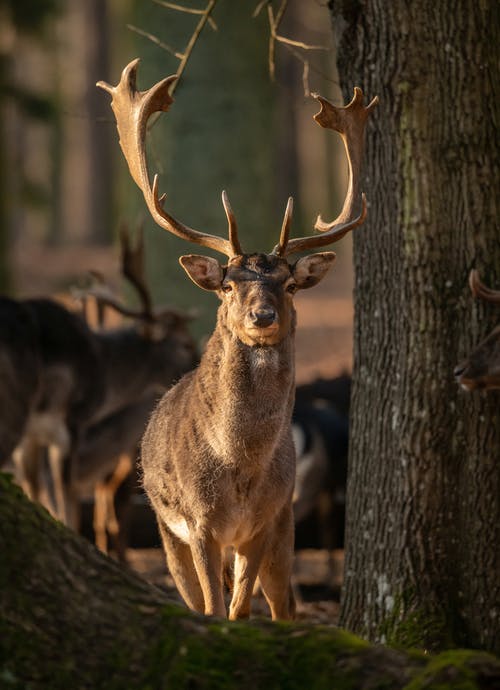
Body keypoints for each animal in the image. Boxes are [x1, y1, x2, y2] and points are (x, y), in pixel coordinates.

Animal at [98, 59, 378, 620]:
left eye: (289, 284)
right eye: (228, 284)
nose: (263, 315)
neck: (238, 470)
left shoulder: (263, 522)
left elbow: (240, 609)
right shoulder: (199, 524)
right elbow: (212, 608)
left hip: (285, 525)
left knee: (284, 603)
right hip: (166, 529)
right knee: (193, 594)